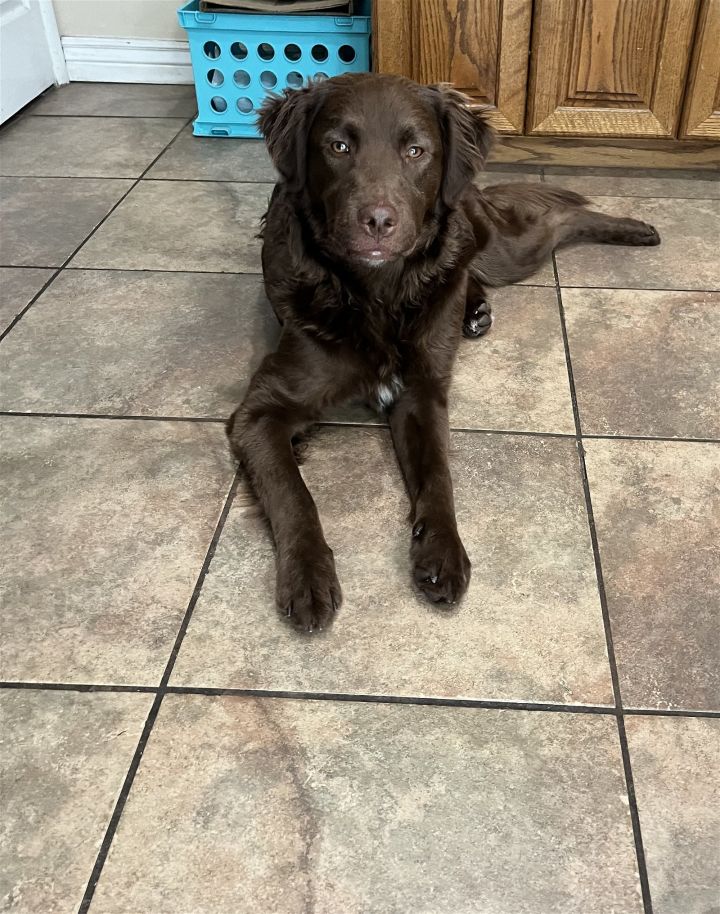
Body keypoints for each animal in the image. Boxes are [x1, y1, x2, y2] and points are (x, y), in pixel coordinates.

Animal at [228, 73, 660, 628]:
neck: (378, 295)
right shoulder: (259, 412)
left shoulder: (422, 393)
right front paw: (306, 576)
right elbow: (293, 495)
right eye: (338, 147)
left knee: (559, 218)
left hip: (503, 247)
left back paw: (634, 228)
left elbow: (438, 474)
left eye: (416, 151)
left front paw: (444, 552)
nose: (378, 221)